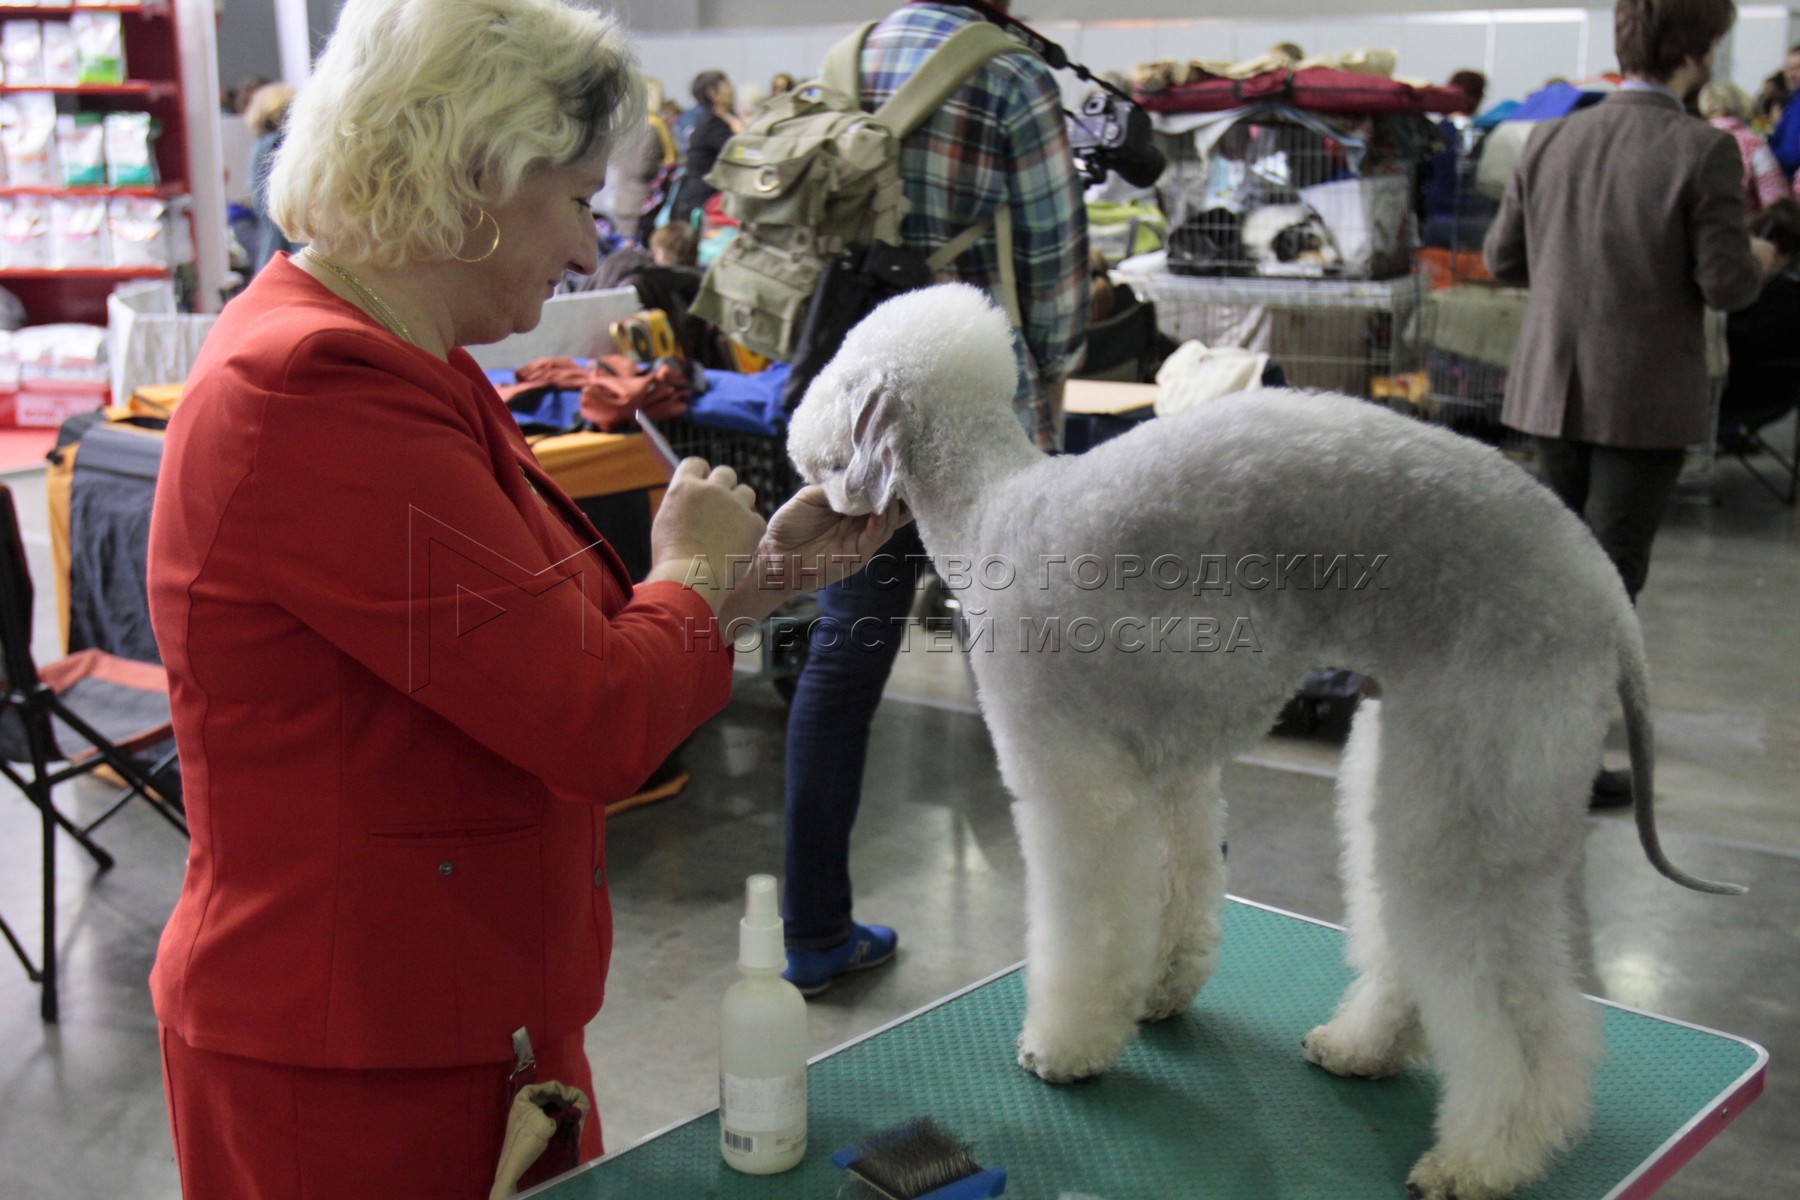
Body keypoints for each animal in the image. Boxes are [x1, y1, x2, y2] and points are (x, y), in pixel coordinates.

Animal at [792, 284, 1742, 1200]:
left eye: (840, 372)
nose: (798, 443)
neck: (993, 508)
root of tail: (1606, 597)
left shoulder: (1073, 778)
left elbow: (1086, 925)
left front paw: (1066, 1046)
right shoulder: (1167, 773)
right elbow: (1176, 886)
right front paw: (1160, 992)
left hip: (1486, 766)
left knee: (1520, 1014)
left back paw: (1487, 1158)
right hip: (1418, 758)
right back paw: (1365, 1047)